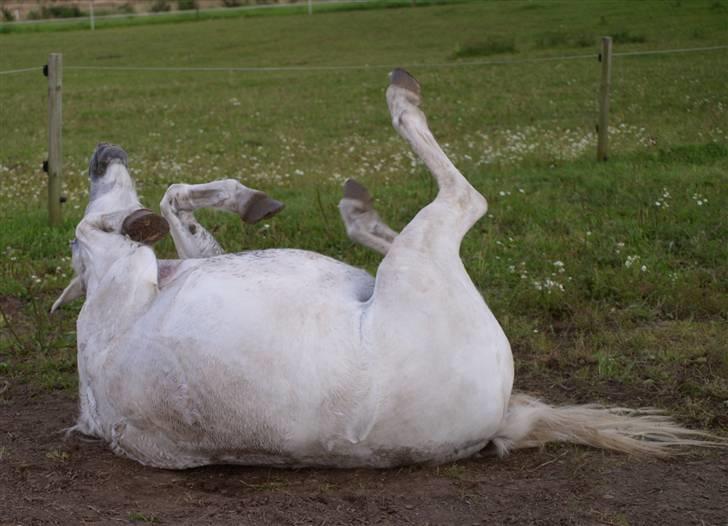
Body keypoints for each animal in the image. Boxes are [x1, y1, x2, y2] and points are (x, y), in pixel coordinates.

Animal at [54, 70, 724, 470]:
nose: (101, 154)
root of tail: (502, 416)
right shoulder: (124, 265)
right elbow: (143, 212)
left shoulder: (186, 263)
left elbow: (178, 204)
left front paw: (250, 201)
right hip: (424, 254)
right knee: (465, 197)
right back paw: (401, 98)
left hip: (402, 263)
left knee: (379, 239)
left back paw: (357, 206)